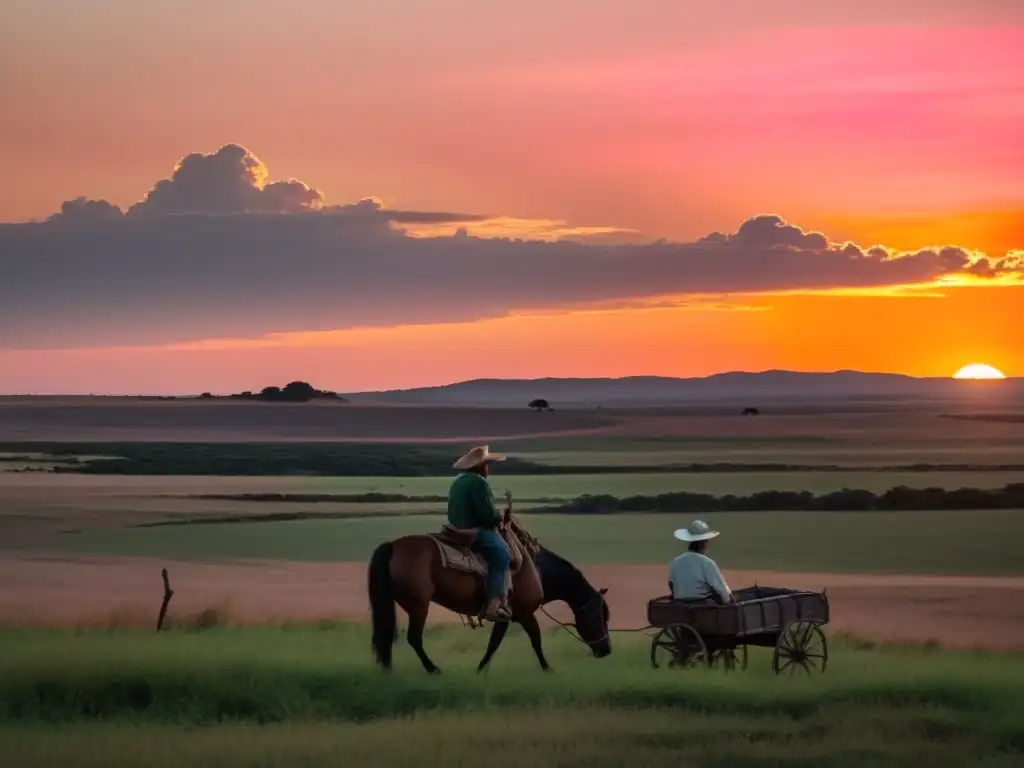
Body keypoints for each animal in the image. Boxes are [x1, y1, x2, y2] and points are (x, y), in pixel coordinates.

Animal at [366, 532, 606, 675]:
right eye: (599, 616)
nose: (606, 649)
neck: (537, 569)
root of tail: (392, 546)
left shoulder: (505, 616)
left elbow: (494, 643)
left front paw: (480, 669)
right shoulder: (525, 613)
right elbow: (536, 639)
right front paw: (547, 668)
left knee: (386, 634)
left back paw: (388, 670)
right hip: (418, 606)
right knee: (414, 638)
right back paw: (434, 670)